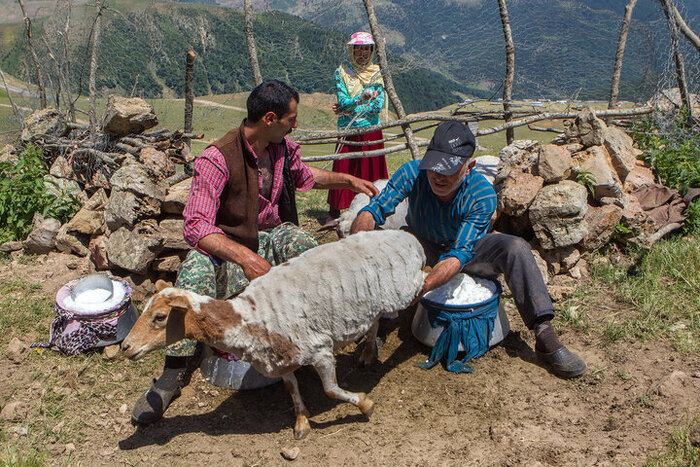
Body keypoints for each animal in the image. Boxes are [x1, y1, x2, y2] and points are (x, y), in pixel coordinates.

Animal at [121, 232, 426, 440]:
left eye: (160, 317)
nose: (125, 347)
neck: (251, 316)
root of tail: (406, 237)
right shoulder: (280, 359)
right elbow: (292, 388)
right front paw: (301, 422)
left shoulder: (320, 351)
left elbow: (330, 389)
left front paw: (365, 405)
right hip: (374, 303)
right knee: (374, 320)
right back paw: (367, 353)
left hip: (405, 286)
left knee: (425, 279)